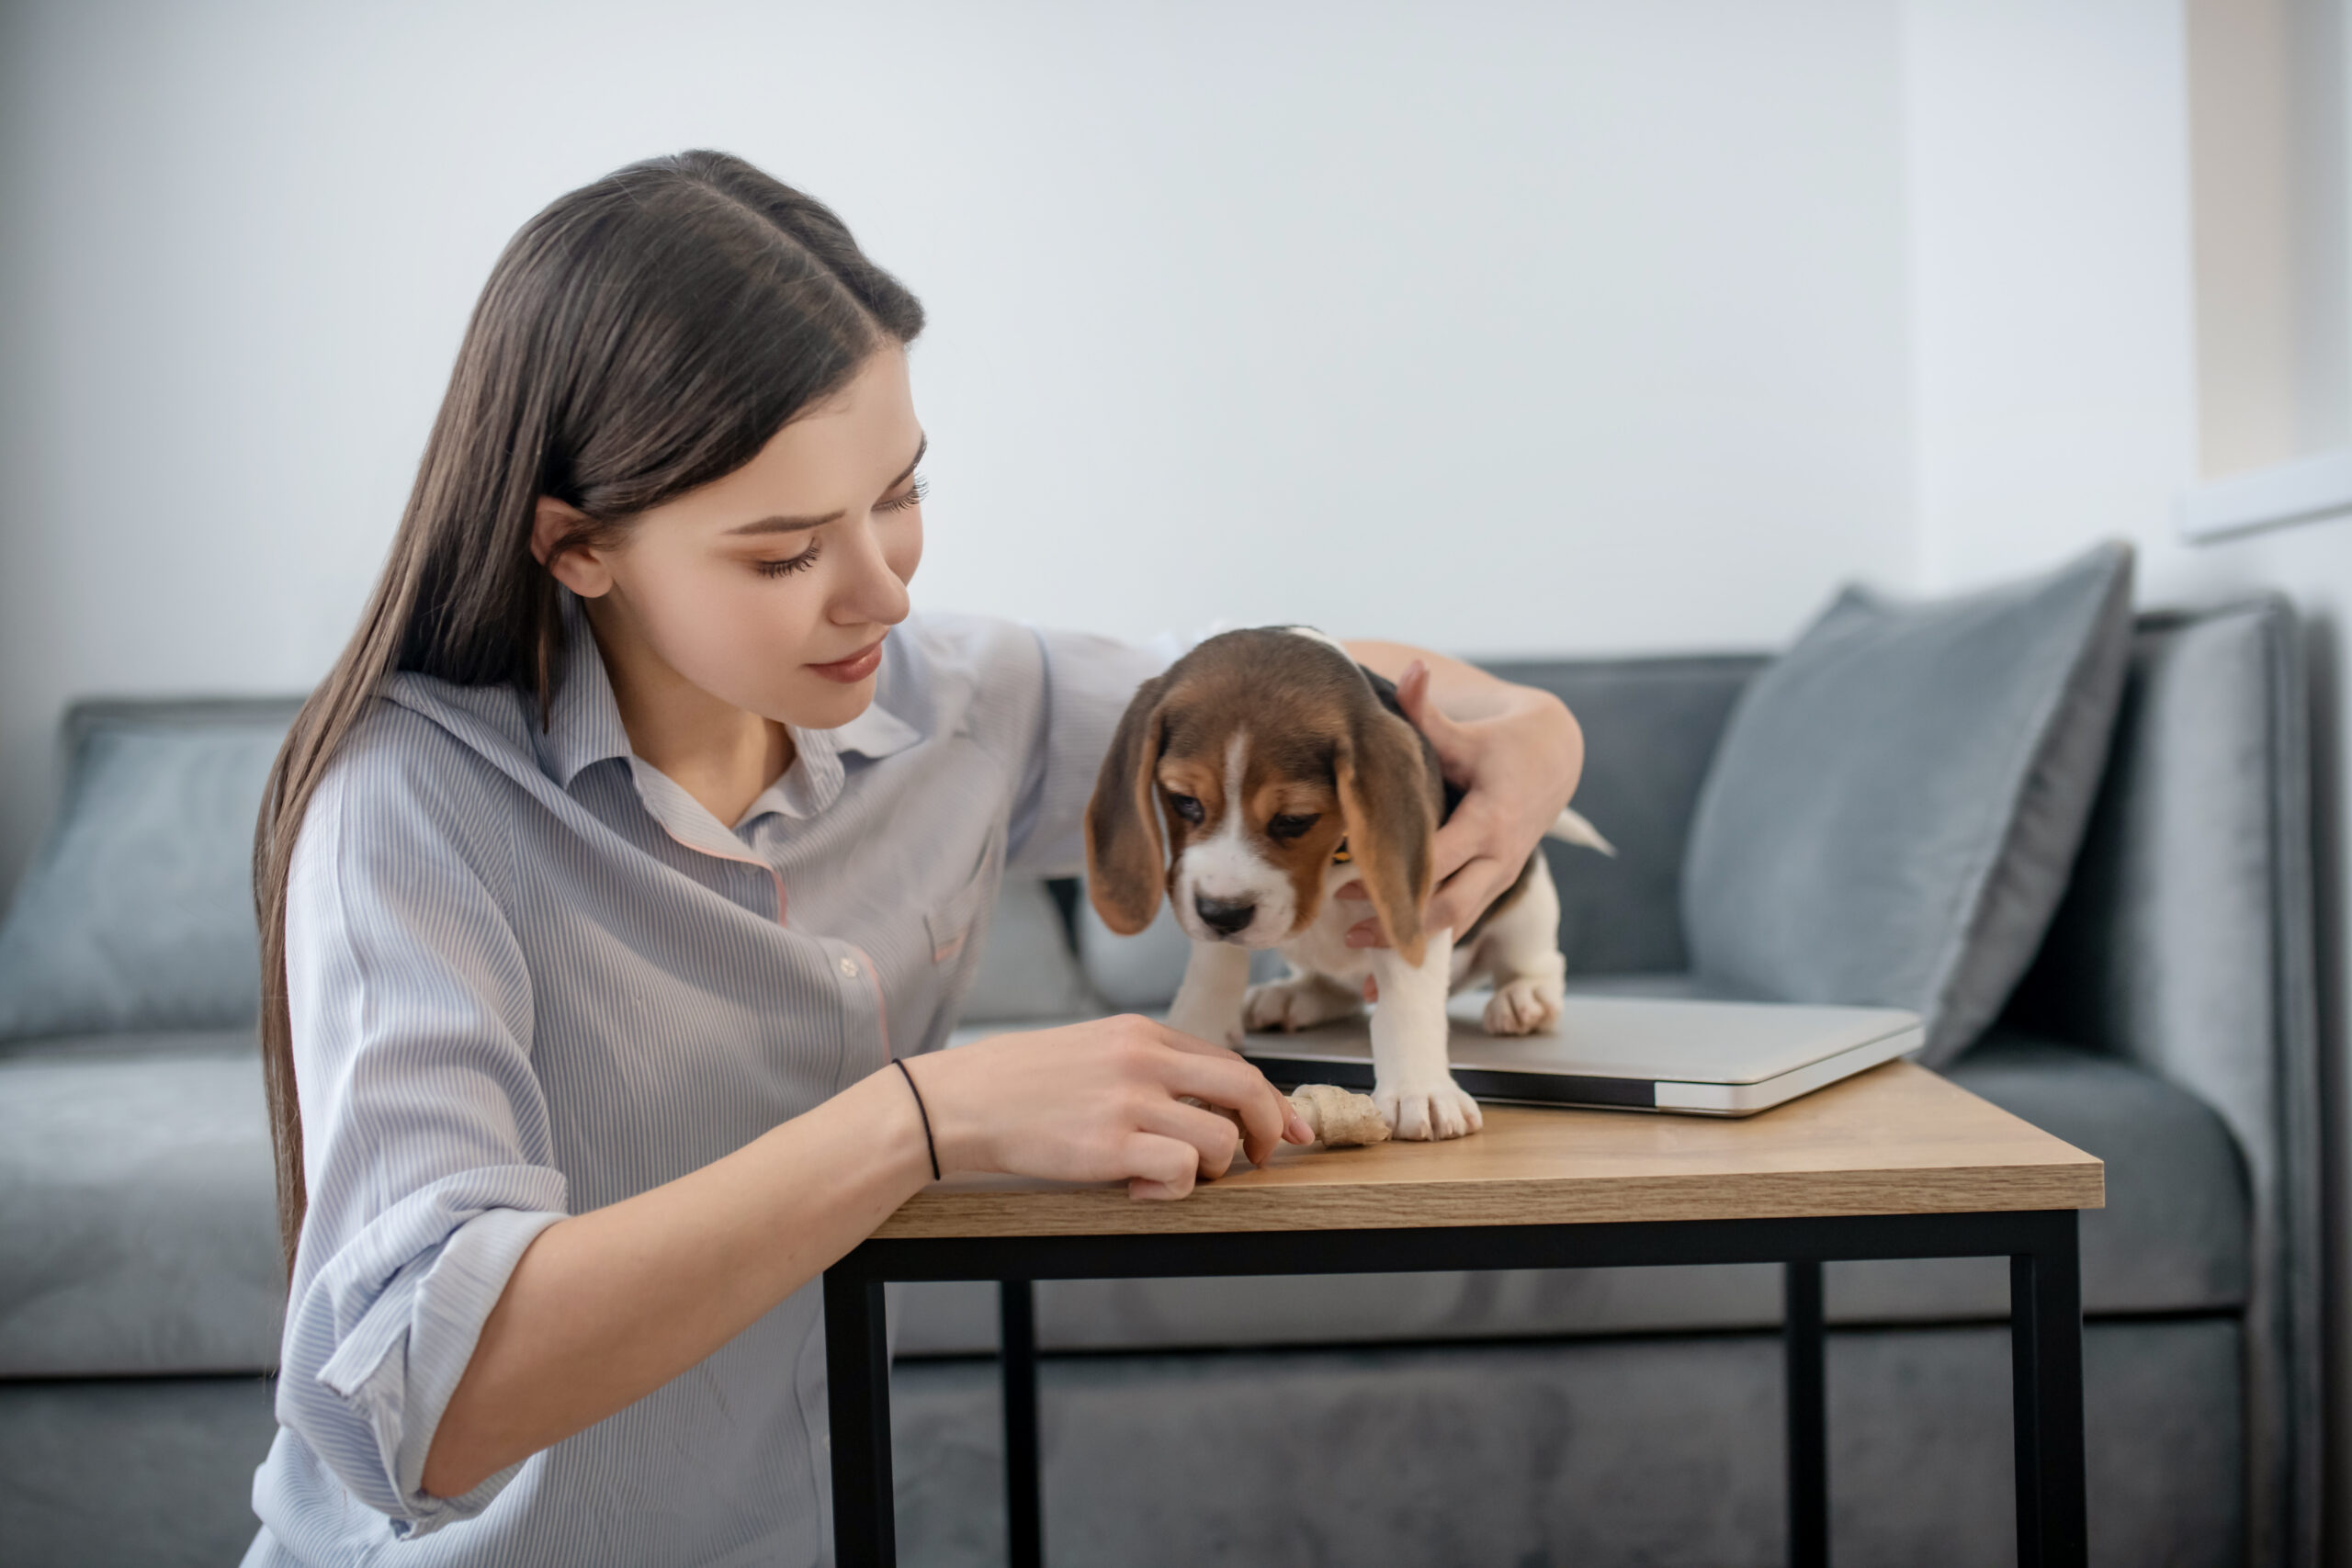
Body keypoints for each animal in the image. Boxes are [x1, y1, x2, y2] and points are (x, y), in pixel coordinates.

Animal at [1086, 620, 1618, 1142]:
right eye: (1184, 801)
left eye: (1295, 820)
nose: (1223, 914)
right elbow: (1213, 969)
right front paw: (1194, 1036)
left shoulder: (1413, 903)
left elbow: (1406, 999)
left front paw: (1420, 1090)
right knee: (1335, 988)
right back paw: (1292, 995)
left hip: (1527, 900)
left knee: (1539, 962)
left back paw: (1524, 999)